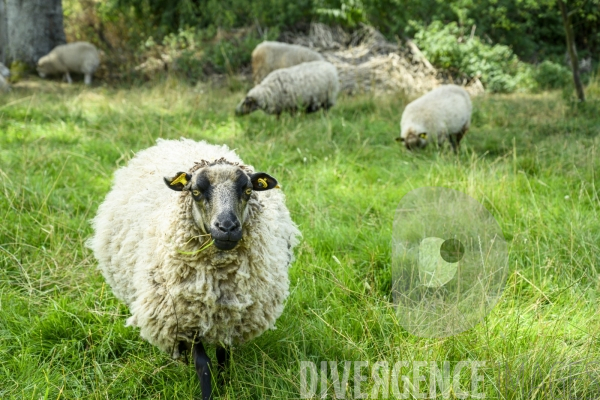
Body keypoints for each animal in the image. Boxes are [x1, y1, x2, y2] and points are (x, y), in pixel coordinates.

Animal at [88, 138, 300, 400]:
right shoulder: (187, 316)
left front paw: (226, 385)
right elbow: (203, 364)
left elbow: (223, 356)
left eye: (248, 191)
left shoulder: (228, 315)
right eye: (196, 192)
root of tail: (175, 141)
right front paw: (208, 392)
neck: (218, 278)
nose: (227, 227)